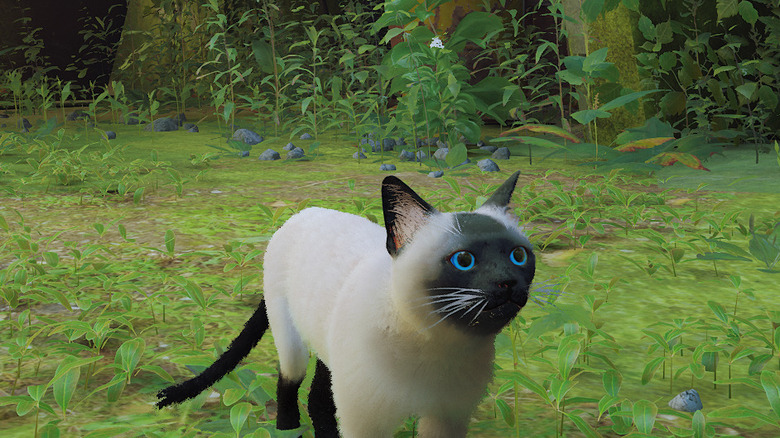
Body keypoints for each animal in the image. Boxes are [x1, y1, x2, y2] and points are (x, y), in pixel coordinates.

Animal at [158, 172, 536, 438]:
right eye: (463, 260)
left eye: (519, 256)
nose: (508, 282)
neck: (439, 347)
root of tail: (302, 213)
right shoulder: (366, 423)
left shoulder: (448, 418)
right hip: (292, 341)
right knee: (289, 384)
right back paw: (289, 431)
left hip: (329, 351)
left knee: (318, 398)